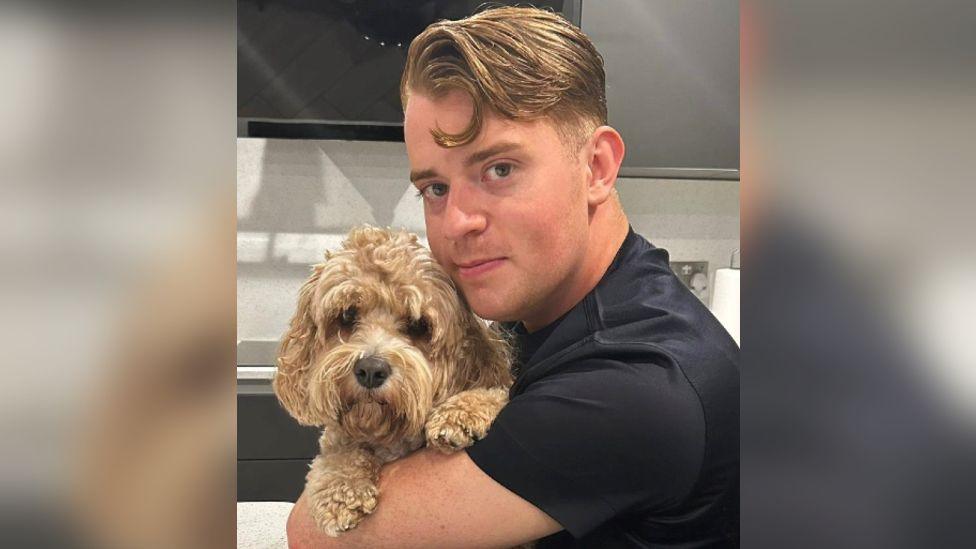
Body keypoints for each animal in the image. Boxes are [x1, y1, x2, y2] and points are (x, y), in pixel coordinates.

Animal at [268, 224, 510, 536]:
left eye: (418, 325)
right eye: (347, 315)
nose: (370, 370)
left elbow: (497, 390)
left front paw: (460, 414)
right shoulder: (338, 438)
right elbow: (336, 453)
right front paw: (340, 491)